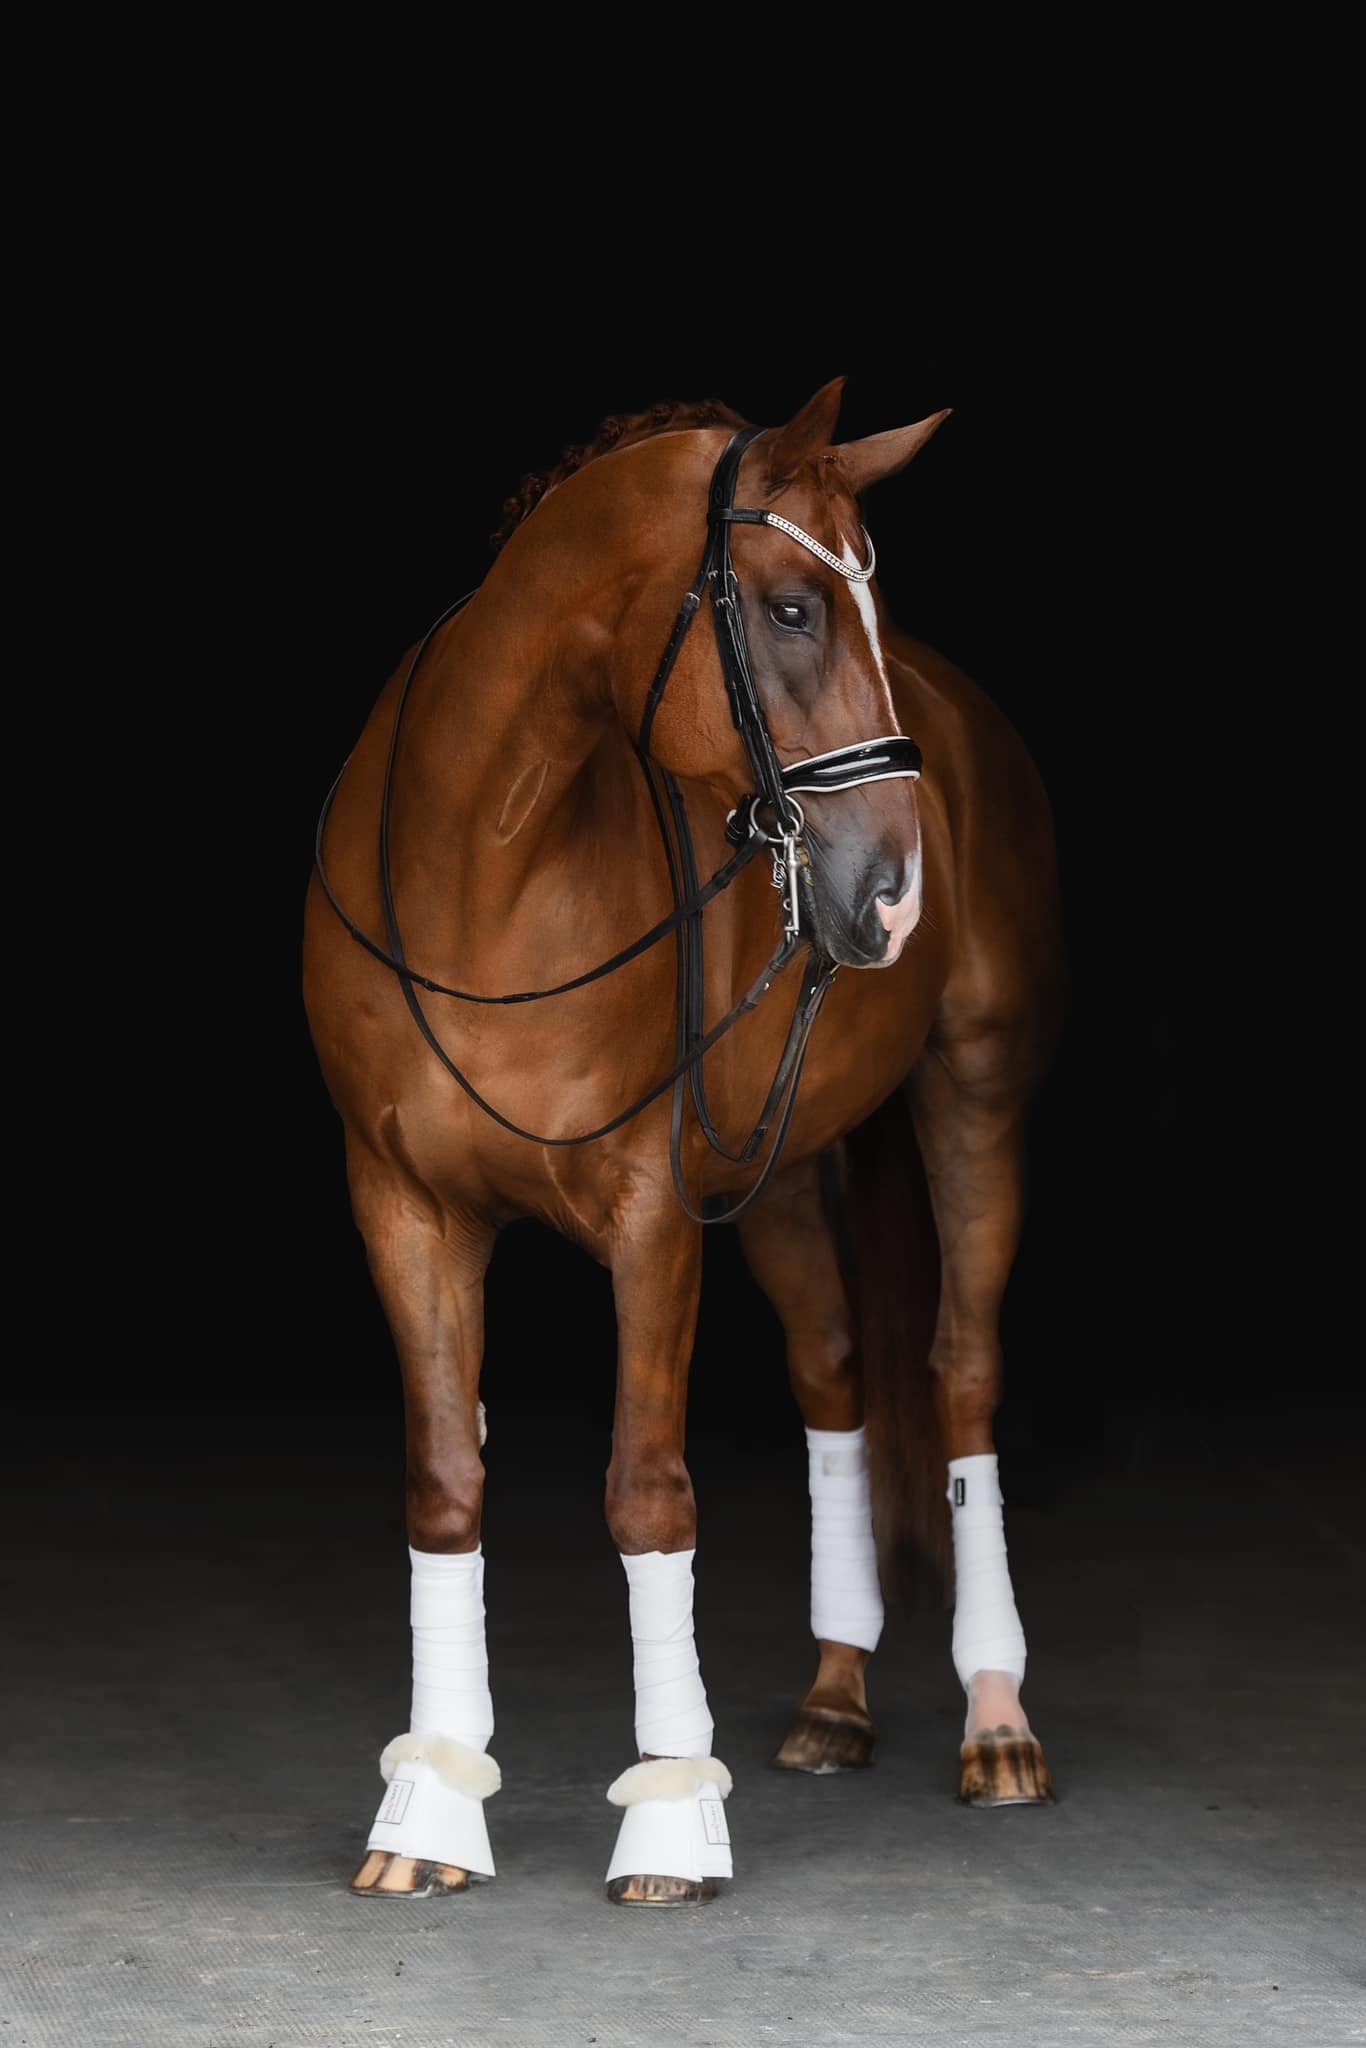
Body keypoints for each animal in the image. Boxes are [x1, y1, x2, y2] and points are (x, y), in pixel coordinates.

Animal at [302, 376, 1065, 1906]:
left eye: (866, 598)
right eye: (791, 607)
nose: (893, 897)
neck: (484, 865)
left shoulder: (646, 1213)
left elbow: (648, 1494)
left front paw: (663, 1816)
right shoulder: (403, 1204)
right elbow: (444, 1484)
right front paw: (428, 1810)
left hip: (971, 1097)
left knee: (959, 1375)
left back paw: (996, 1720)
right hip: (767, 1174)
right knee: (834, 1373)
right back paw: (834, 1697)